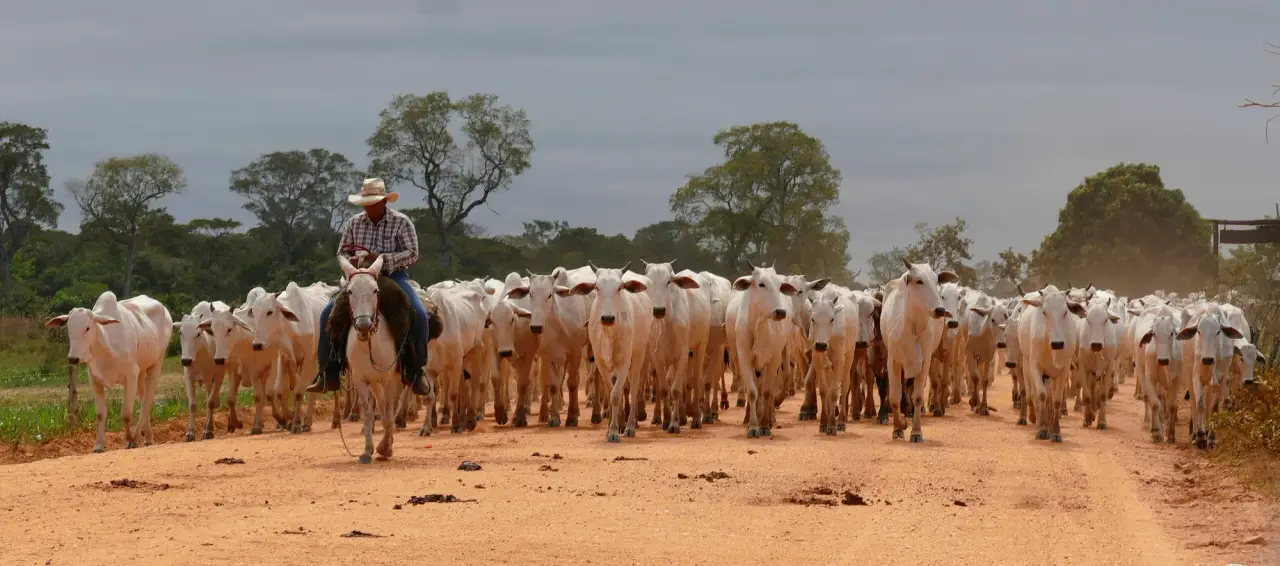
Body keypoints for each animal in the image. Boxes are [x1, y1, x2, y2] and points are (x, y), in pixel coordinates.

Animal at [46, 292, 172, 453]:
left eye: (87, 328)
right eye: (69, 328)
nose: (73, 358)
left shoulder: (131, 375)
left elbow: (126, 414)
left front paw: (130, 440)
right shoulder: (95, 380)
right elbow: (101, 414)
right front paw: (99, 445)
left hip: (156, 364)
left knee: (146, 403)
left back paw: (137, 437)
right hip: (141, 372)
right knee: (144, 399)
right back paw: (148, 438)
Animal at [643, 262, 711, 432]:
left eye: (669, 281)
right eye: (650, 282)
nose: (658, 310)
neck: (666, 323)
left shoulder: (682, 353)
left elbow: (675, 390)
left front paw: (674, 424)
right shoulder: (657, 356)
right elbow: (664, 388)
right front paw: (667, 420)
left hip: (700, 346)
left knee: (696, 381)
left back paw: (696, 419)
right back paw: (681, 416)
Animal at [879, 260, 957, 442]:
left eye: (936, 282)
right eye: (919, 281)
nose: (940, 310)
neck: (913, 327)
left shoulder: (925, 361)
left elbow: (918, 397)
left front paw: (916, 431)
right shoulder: (893, 360)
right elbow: (894, 397)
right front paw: (899, 427)